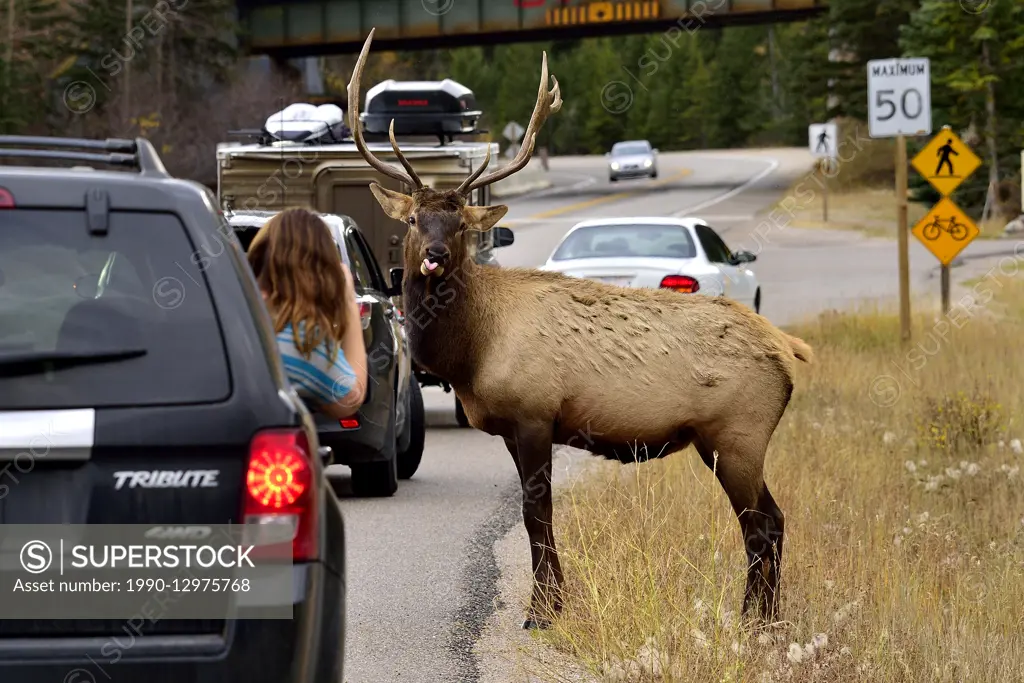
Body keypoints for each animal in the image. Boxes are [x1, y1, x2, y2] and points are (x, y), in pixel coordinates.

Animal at [348, 30, 811, 630]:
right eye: (412, 219)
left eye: (461, 225)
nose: (432, 256)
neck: (471, 352)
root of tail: (788, 350)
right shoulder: (511, 427)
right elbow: (535, 514)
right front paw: (553, 604)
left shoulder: (534, 411)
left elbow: (536, 512)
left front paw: (543, 611)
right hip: (727, 440)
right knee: (769, 519)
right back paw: (763, 618)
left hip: (739, 432)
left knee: (763, 522)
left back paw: (756, 620)